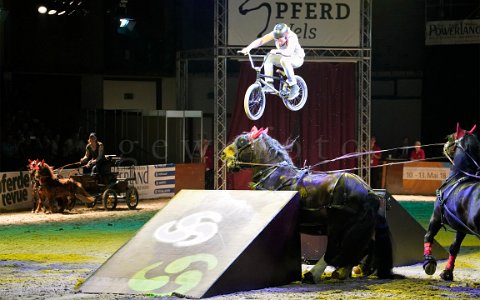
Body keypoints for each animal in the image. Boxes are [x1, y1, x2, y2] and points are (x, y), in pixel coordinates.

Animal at [221, 126, 394, 282]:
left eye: (241, 140)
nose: (222, 154)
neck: (275, 174)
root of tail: (369, 191)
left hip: (338, 223)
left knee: (335, 249)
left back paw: (314, 274)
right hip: (356, 227)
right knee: (361, 247)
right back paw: (347, 271)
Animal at [424, 122, 480, 282]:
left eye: (452, 137)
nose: (444, 147)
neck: (458, 176)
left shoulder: (436, 217)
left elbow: (428, 236)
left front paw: (429, 262)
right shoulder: (461, 227)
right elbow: (454, 247)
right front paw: (447, 272)